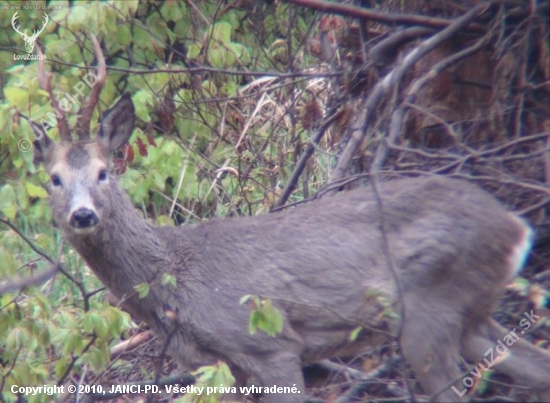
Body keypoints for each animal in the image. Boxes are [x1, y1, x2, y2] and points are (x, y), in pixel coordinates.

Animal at [31, 38, 550, 403]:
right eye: (54, 178)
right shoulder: (219, 365)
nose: (82, 214)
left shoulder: (270, 343)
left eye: (103, 171)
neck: (175, 275)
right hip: (471, 316)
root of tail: (515, 227)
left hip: (429, 309)